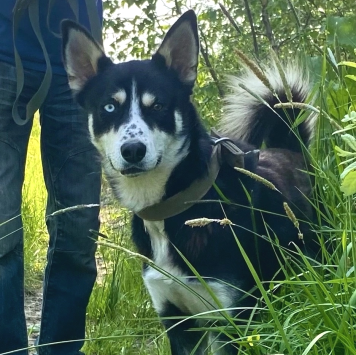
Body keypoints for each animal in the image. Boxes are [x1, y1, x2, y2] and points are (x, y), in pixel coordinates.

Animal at [60, 9, 318, 354]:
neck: (175, 208)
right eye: (109, 107)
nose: (133, 150)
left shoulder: (233, 319)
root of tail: (290, 149)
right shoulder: (177, 320)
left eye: (158, 105)